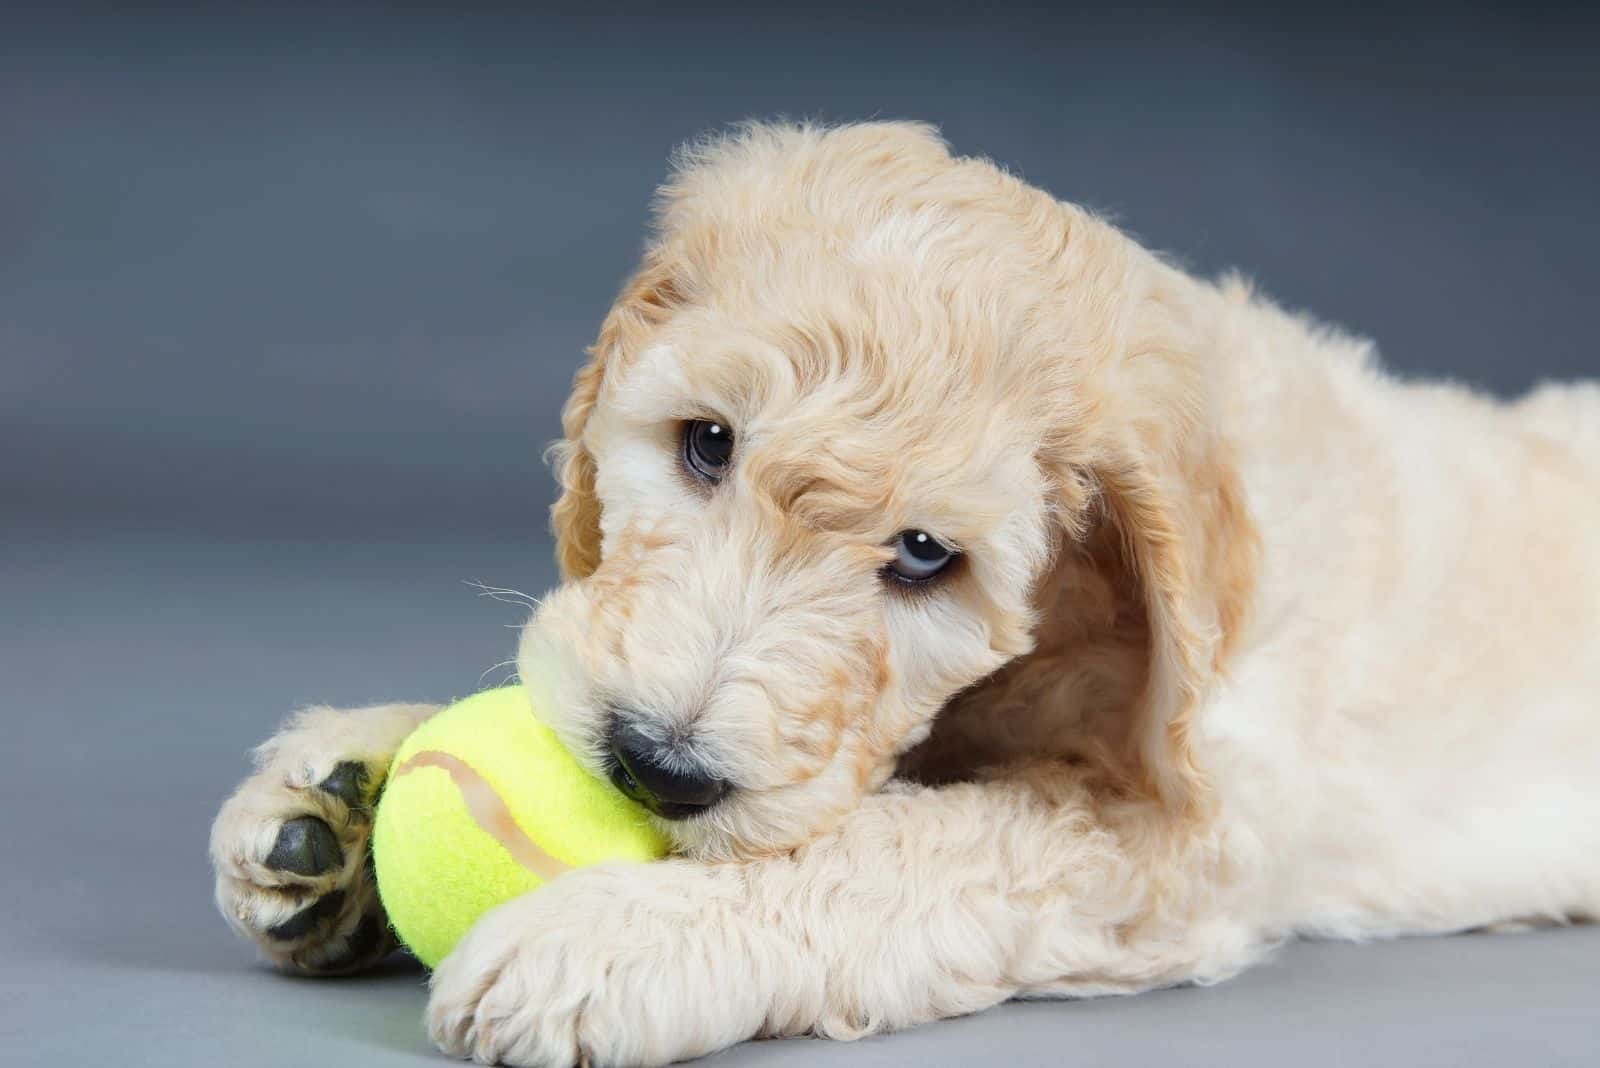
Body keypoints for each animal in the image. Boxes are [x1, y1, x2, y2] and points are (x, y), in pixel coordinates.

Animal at [212, 120, 1600, 1061]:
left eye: (927, 557)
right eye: (705, 444)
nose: (656, 767)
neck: (1096, 621)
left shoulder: (1173, 844)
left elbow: (893, 849)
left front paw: (609, 937)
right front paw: (347, 788)